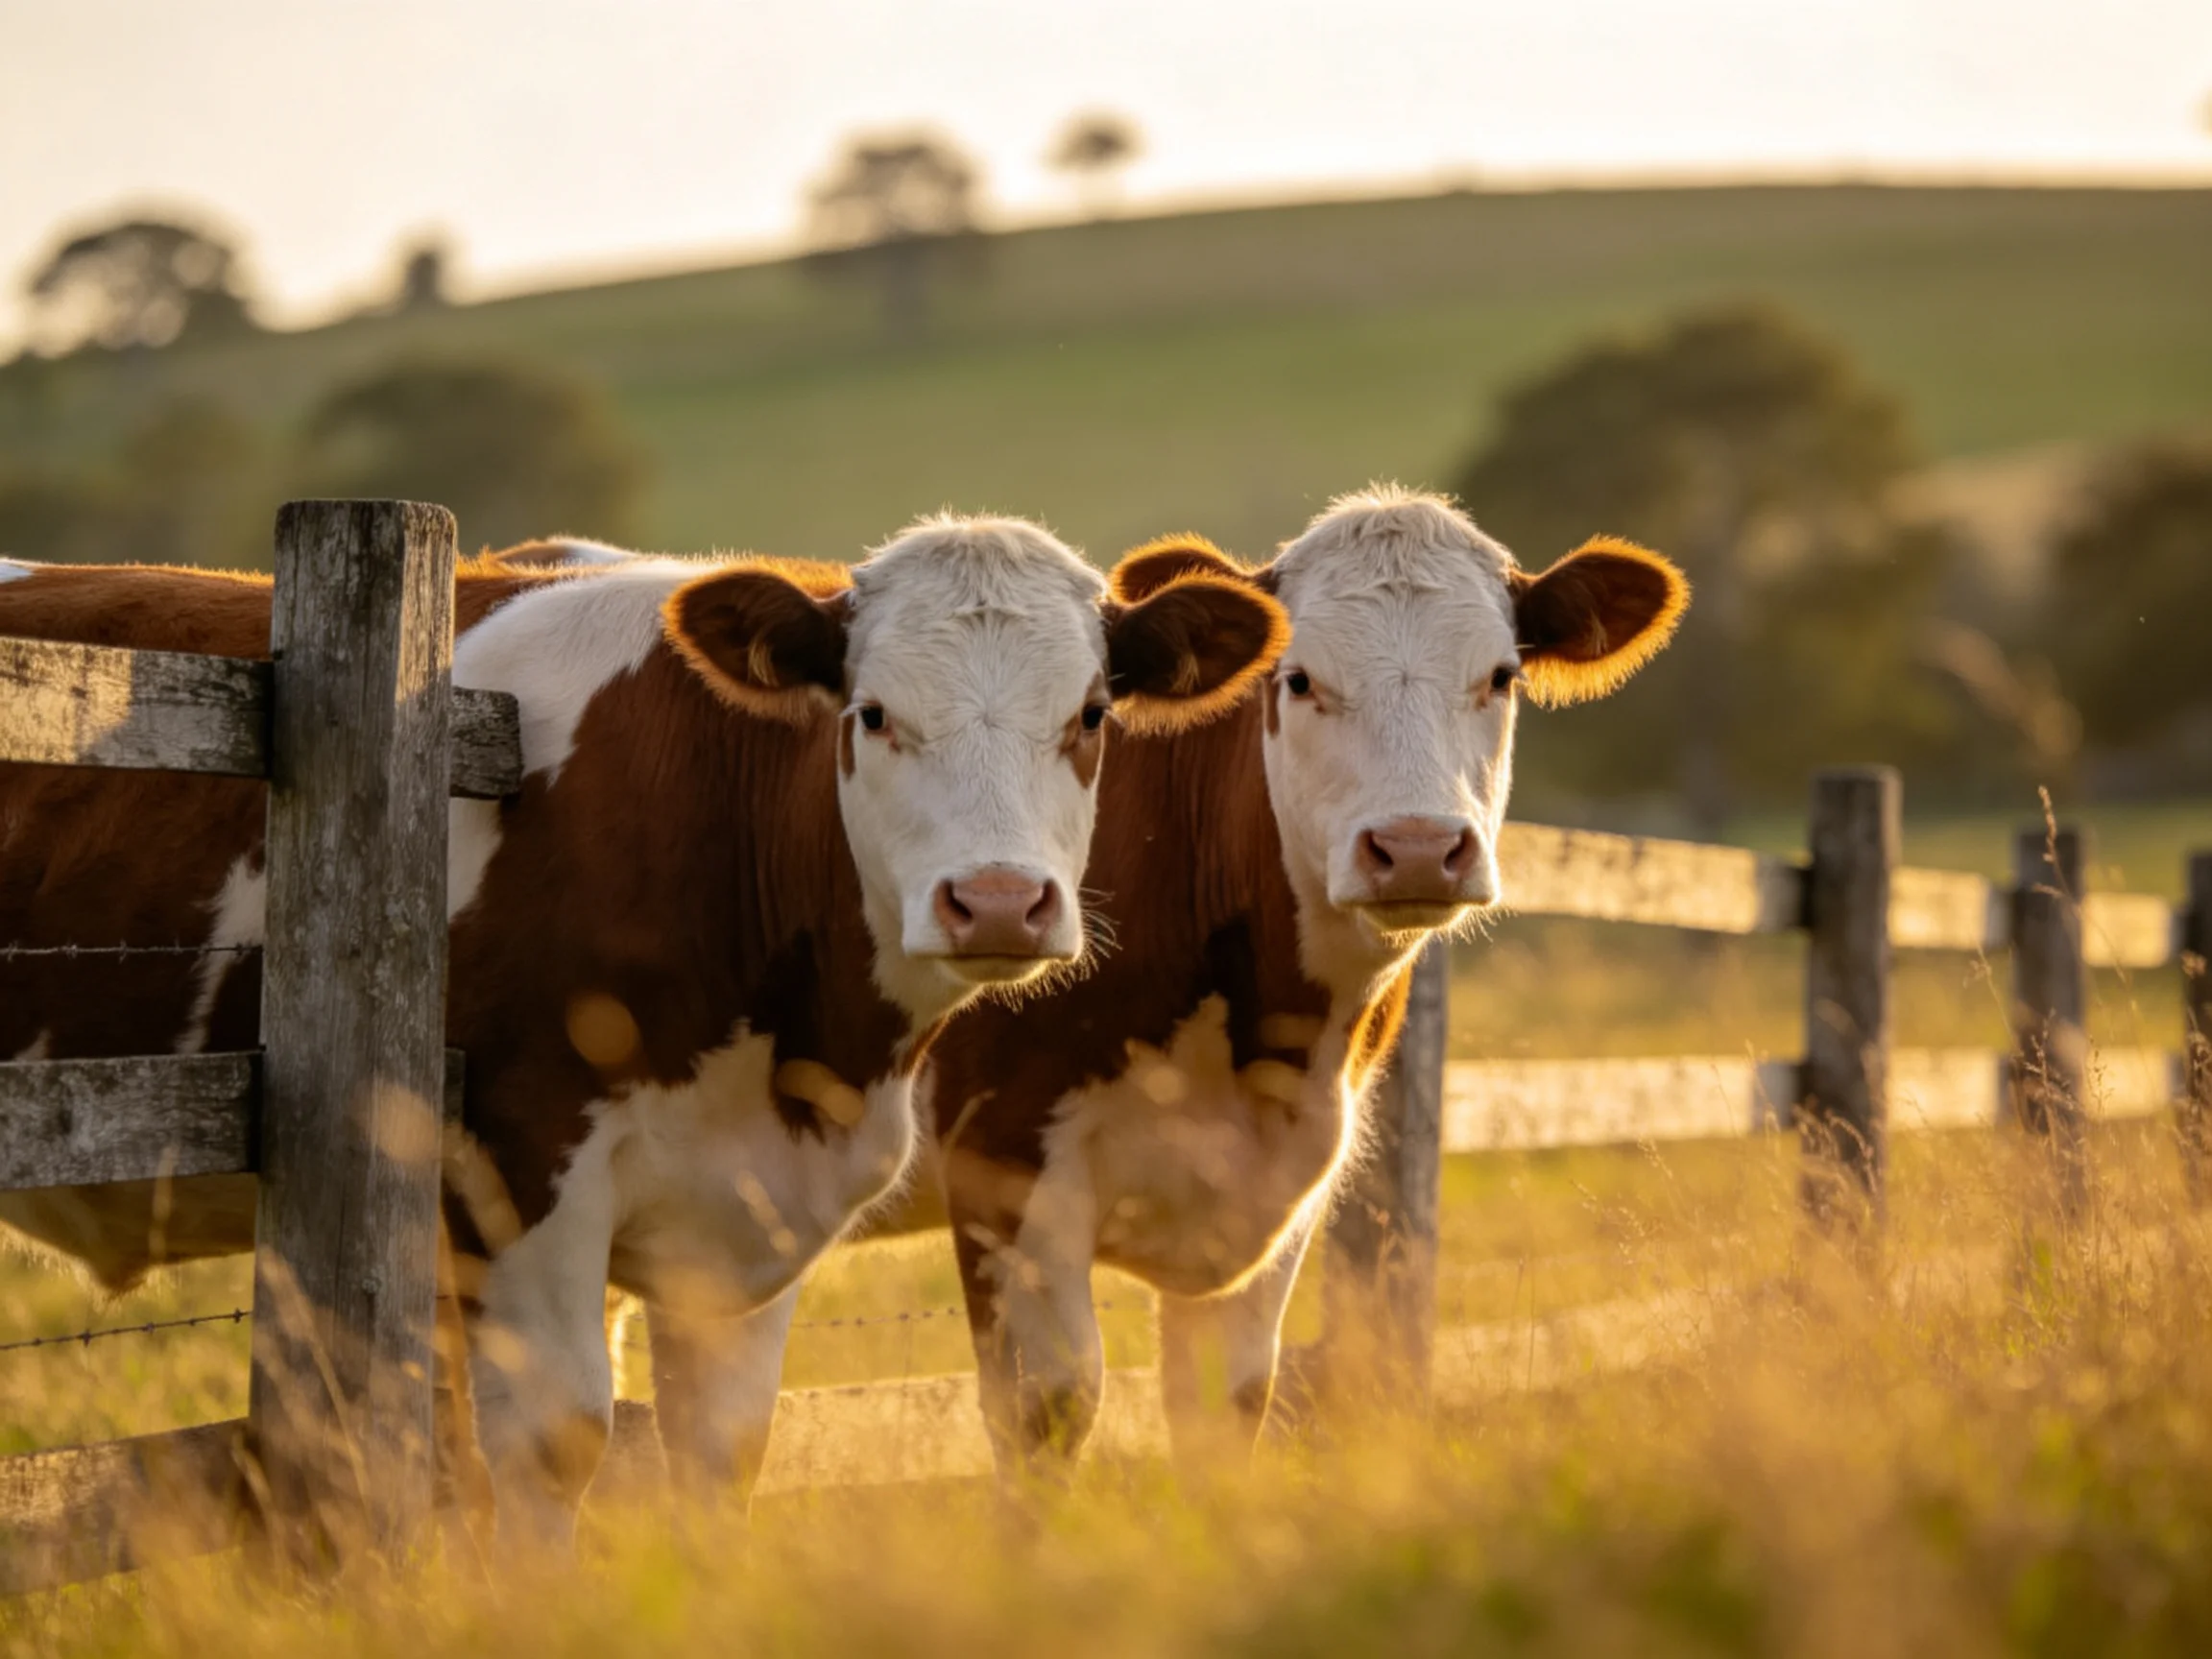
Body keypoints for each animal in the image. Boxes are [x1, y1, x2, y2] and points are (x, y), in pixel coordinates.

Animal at [0, 518, 1287, 1541]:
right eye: (872, 713)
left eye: (1091, 714)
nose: (1001, 901)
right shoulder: (520, 1162)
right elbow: (553, 1444)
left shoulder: (752, 1214)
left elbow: (719, 1453)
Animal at [906, 486, 1687, 1474]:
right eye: (1301, 679)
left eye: (1503, 676)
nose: (1418, 849)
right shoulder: (1003, 1157)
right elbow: (1045, 1409)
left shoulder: (1272, 1193)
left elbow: (1225, 1405)